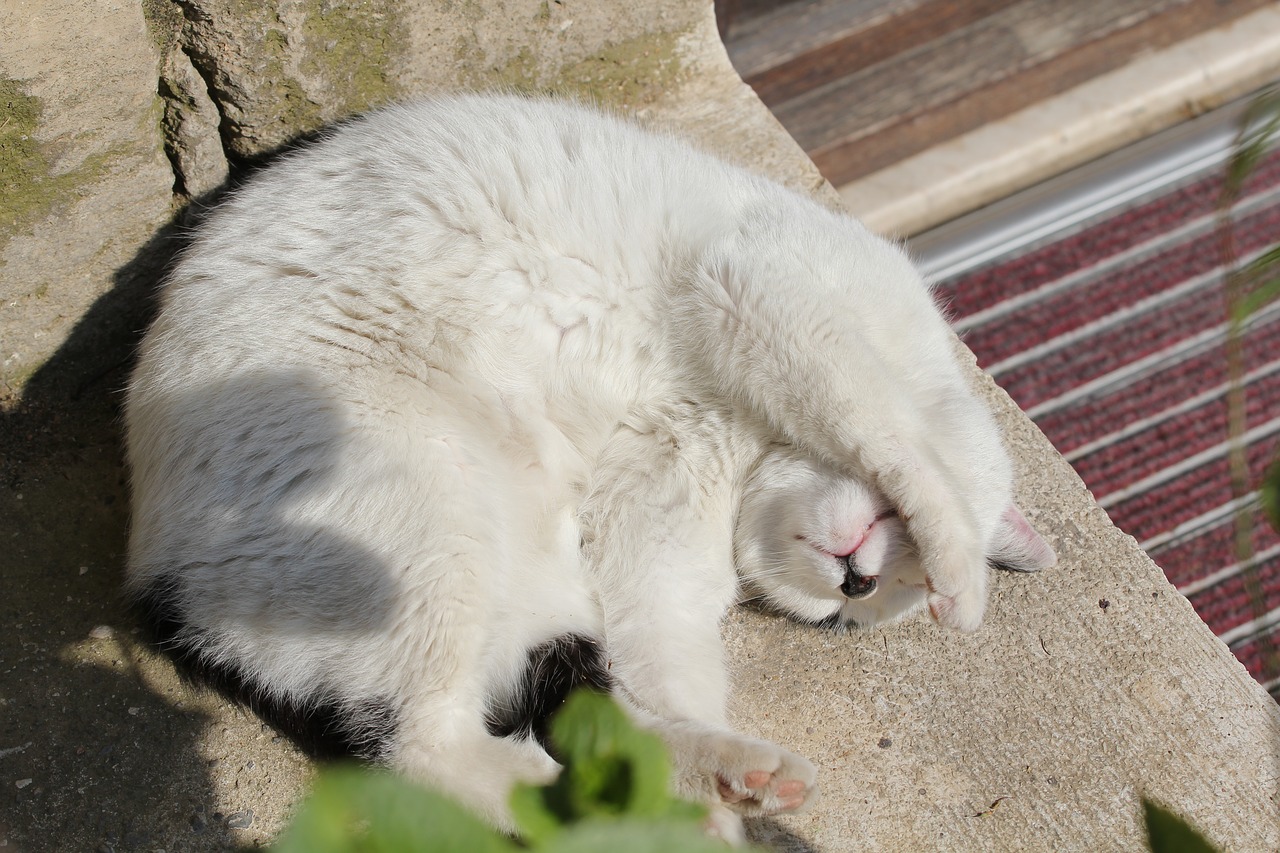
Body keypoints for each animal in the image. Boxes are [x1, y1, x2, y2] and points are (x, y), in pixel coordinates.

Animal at [124, 92, 1054, 835]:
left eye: (849, 613)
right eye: (881, 584)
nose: (855, 580)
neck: (741, 438)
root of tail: (161, 585)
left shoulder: (650, 527)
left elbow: (662, 650)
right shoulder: (767, 292)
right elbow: (889, 430)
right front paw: (963, 572)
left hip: (536, 598)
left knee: (575, 715)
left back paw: (715, 782)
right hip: (422, 511)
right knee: (423, 747)